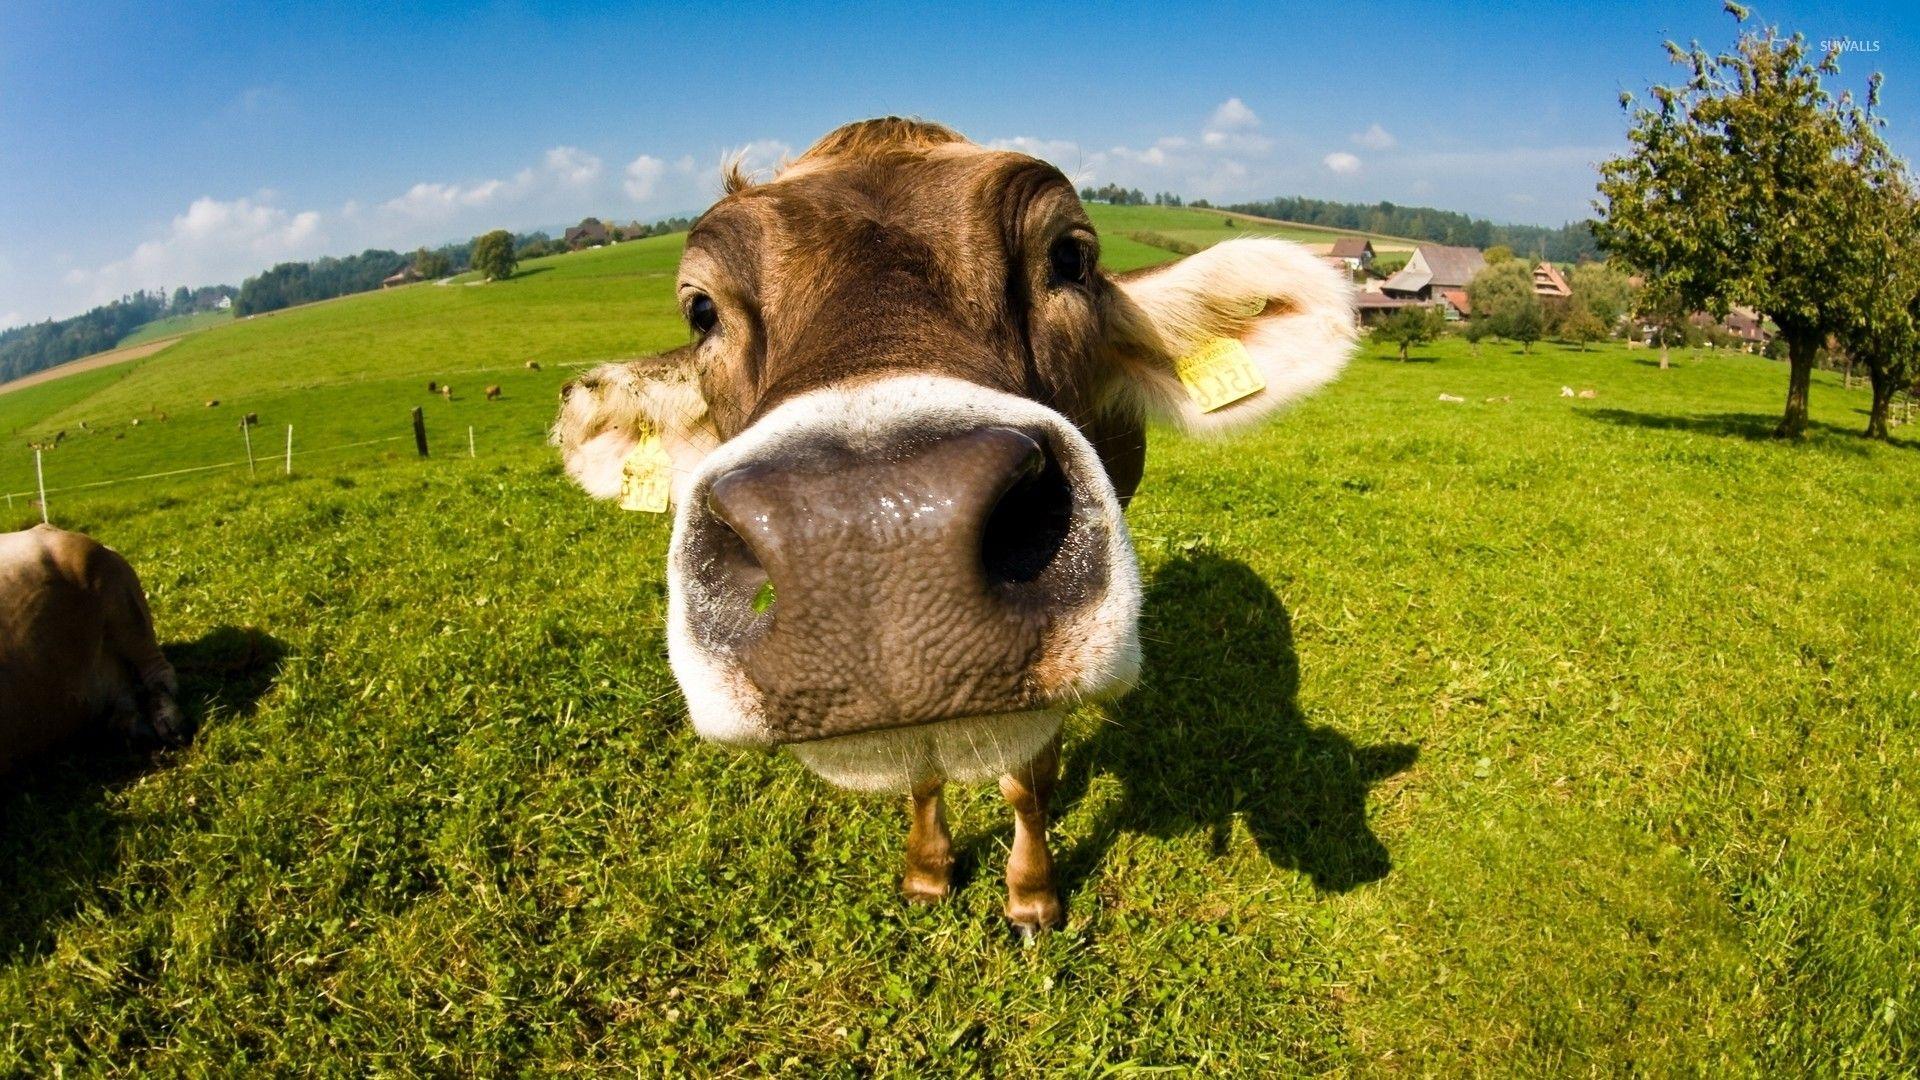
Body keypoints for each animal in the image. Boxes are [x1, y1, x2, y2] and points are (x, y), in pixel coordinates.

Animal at [551, 118, 1355, 935]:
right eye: (701, 310)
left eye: (1070, 256)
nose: (870, 531)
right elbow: (923, 773)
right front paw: (928, 871)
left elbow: (1028, 779)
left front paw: (1032, 894)